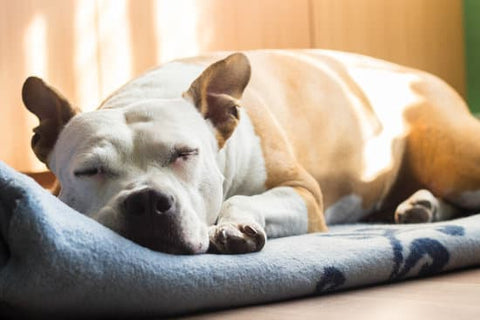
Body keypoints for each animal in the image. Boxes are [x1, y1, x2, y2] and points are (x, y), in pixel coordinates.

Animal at [21, 50, 480, 255]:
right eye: (89, 171)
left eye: (185, 154)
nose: (148, 200)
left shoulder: (304, 193)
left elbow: (243, 197)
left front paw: (233, 225)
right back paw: (422, 207)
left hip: (454, 161)